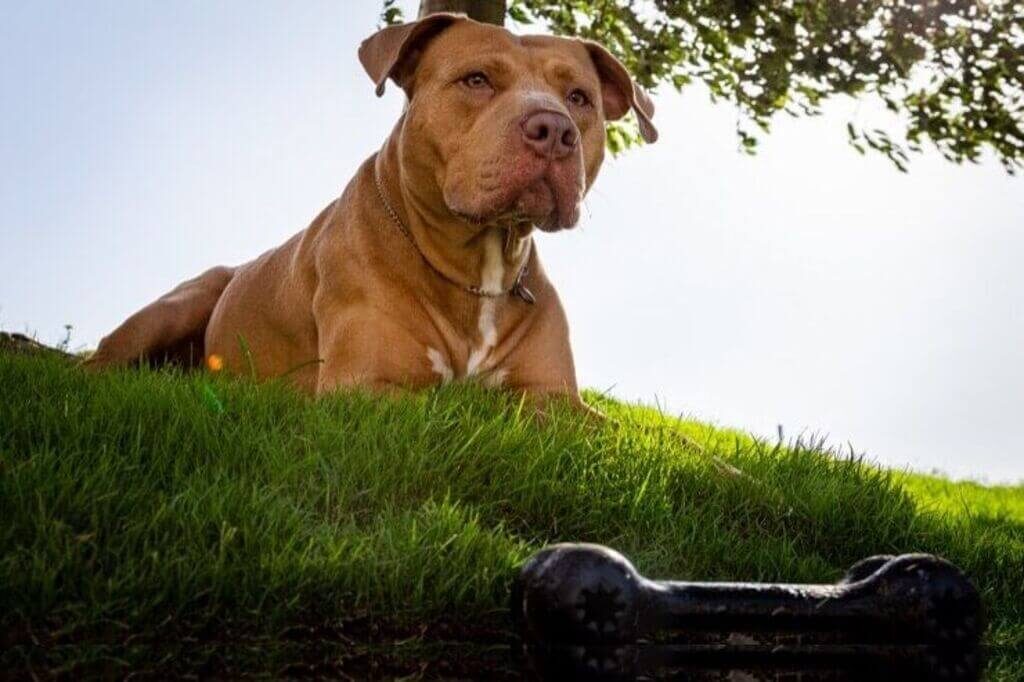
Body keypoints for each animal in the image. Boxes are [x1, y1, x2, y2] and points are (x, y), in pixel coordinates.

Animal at [92, 13, 659, 409]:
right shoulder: (366, 386)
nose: (554, 129)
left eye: (579, 98)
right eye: (476, 80)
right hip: (182, 302)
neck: (477, 270)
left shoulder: (557, 400)